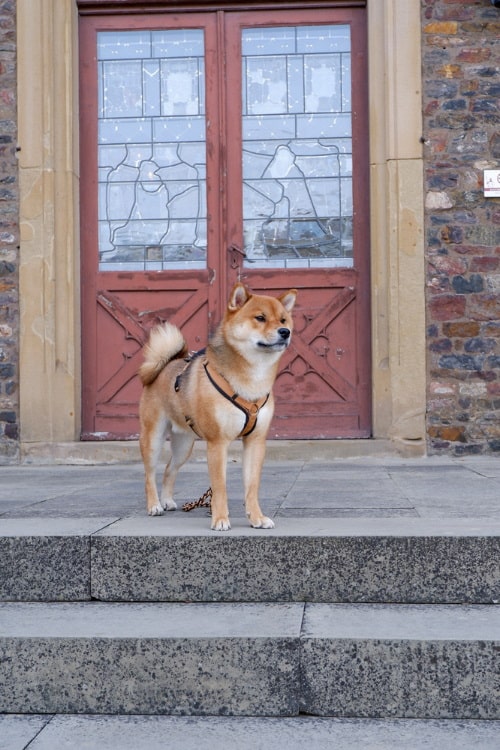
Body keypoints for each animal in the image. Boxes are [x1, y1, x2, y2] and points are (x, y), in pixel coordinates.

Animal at [139, 284, 294, 536]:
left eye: (283, 319)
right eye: (260, 318)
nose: (285, 332)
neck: (253, 378)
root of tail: (165, 365)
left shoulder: (255, 442)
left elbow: (252, 486)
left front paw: (257, 518)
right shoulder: (218, 443)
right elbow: (219, 487)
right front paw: (220, 519)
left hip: (184, 445)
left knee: (169, 469)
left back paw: (168, 500)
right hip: (153, 438)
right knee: (150, 473)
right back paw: (154, 505)